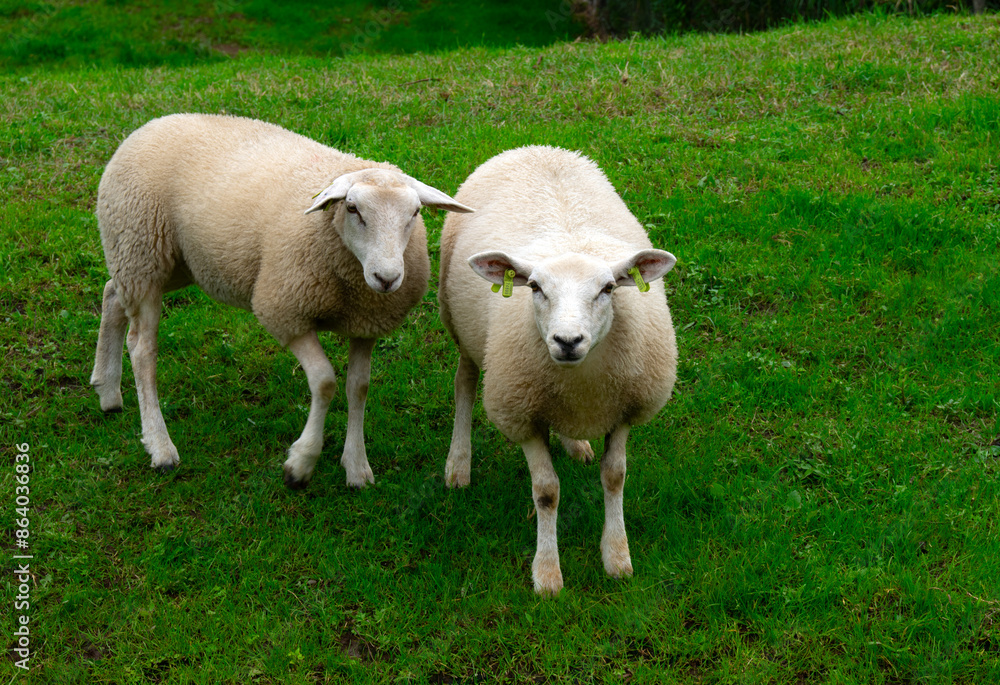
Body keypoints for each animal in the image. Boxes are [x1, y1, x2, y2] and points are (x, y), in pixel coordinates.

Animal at [90, 113, 473, 488]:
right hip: (141, 250)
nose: (387, 278)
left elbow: (358, 387)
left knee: (111, 293)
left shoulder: (365, 324)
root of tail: (150, 124)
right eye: (352, 208)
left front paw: (356, 466)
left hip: (170, 261)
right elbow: (325, 382)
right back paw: (160, 445)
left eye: (415, 213)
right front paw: (300, 464)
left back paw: (106, 390)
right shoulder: (284, 312)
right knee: (142, 348)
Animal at [438, 145, 678, 595]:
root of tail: (536, 148)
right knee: (464, 384)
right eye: (535, 287)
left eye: (608, 288)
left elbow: (615, 476)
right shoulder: (521, 416)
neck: (582, 381)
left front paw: (617, 556)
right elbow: (547, 491)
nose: (567, 341)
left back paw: (574, 443)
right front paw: (547, 573)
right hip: (463, 330)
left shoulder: (625, 410)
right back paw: (458, 463)